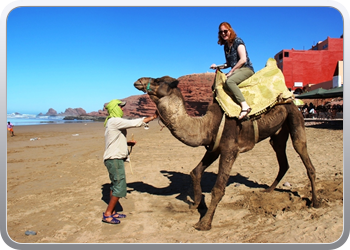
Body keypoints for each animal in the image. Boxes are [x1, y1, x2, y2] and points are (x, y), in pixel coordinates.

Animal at [133, 74, 320, 230]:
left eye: (158, 80)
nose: (139, 81)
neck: (207, 125)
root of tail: (290, 98)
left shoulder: (230, 149)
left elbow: (218, 189)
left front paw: (204, 223)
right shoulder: (213, 149)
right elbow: (195, 172)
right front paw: (196, 205)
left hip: (295, 117)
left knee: (302, 152)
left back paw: (316, 202)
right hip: (278, 134)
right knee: (283, 160)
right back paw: (268, 191)